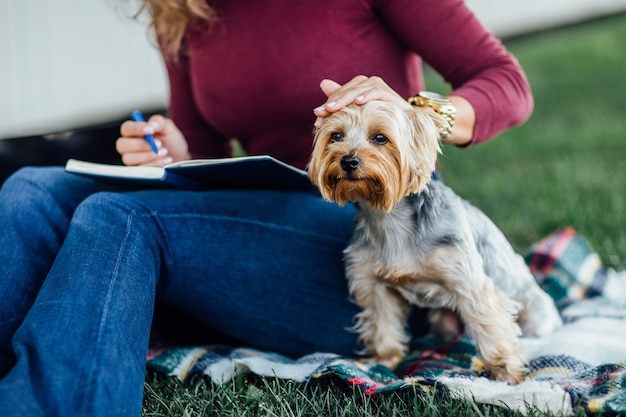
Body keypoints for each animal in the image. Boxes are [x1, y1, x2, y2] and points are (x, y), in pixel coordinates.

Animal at [308, 101, 560, 384]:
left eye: (380, 138)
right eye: (336, 136)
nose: (348, 160)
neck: (389, 216)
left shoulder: (469, 281)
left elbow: (491, 329)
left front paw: (507, 374)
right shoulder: (375, 285)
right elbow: (383, 325)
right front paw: (385, 362)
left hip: (536, 316)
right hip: (443, 321)